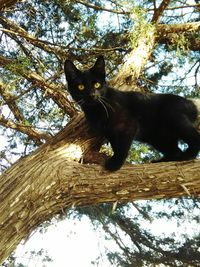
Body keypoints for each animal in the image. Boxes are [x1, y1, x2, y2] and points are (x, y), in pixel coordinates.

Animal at [64, 56, 200, 172]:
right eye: (80, 87)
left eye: (97, 84)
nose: (92, 95)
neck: (97, 110)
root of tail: (191, 103)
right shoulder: (110, 132)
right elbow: (116, 146)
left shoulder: (128, 124)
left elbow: (122, 146)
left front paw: (115, 163)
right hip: (159, 137)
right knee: (175, 151)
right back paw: (163, 161)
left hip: (174, 118)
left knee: (195, 138)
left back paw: (186, 156)